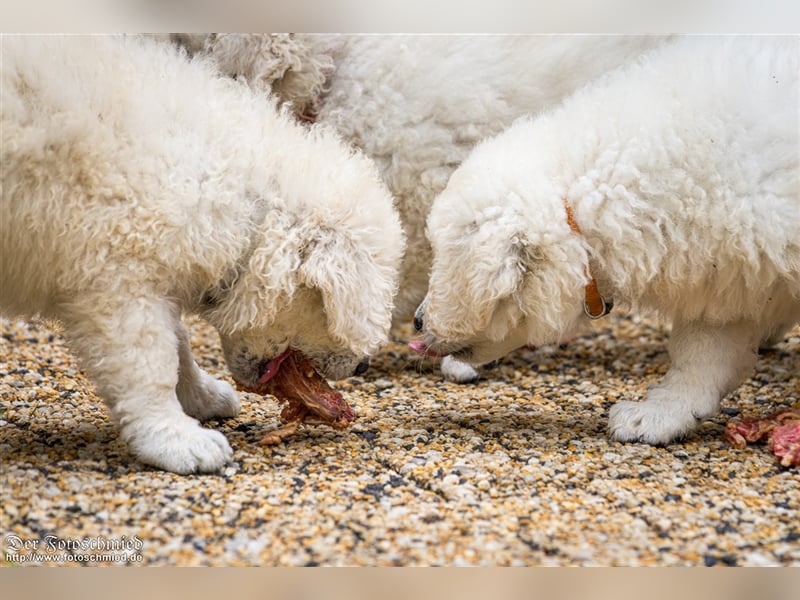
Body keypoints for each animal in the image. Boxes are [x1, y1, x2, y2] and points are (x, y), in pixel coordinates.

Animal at [0, 35, 400, 474]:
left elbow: (178, 342)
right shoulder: (117, 279)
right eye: (329, 313)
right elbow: (149, 361)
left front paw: (202, 397)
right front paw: (175, 439)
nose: (363, 367)